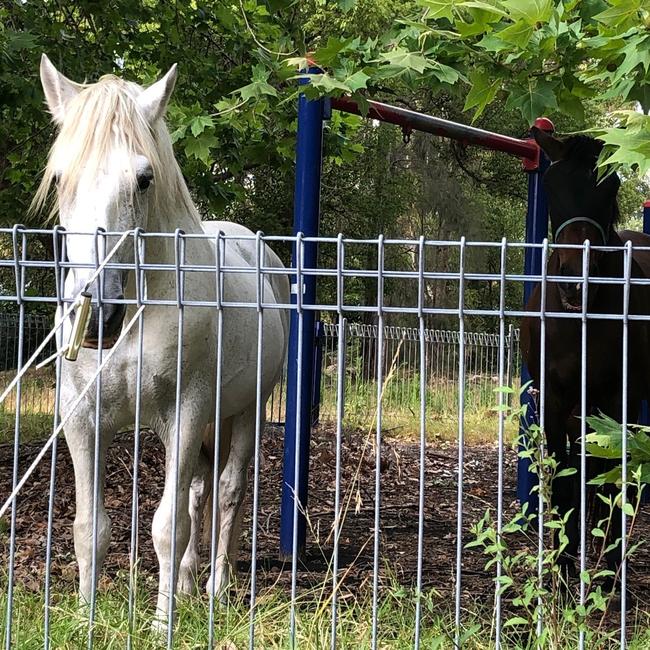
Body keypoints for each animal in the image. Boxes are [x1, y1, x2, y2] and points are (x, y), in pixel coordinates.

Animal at [34, 57, 288, 628]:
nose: (98, 315)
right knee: (199, 494)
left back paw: (216, 588)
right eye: (59, 178)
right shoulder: (82, 418)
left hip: (246, 412)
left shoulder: (185, 412)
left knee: (227, 493)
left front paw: (162, 623)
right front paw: (86, 619)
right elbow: (90, 528)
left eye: (144, 178)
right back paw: (191, 586)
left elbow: (168, 526)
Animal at [520, 129, 650, 584]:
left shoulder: (617, 400)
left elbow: (611, 477)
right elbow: (563, 476)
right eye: (552, 186)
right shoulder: (554, 401)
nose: (574, 284)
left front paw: (609, 572)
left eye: (610, 187)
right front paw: (562, 569)